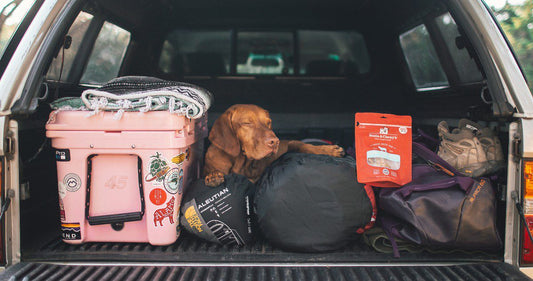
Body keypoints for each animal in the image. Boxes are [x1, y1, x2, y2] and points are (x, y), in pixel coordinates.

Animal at [204, 103, 344, 186]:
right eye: (247, 123)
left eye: (268, 122)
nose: (275, 141)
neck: (241, 162)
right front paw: (212, 175)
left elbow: (304, 146)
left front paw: (329, 150)